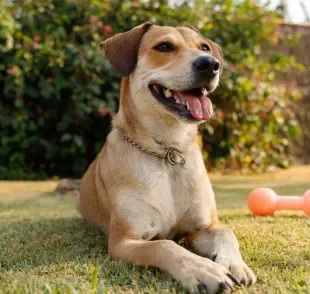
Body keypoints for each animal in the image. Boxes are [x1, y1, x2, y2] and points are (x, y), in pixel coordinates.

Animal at [77, 22, 256, 292]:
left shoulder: (201, 228)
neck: (168, 152)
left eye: (204, 47)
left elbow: (226, 232)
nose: (210, 64)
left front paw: (235, 264)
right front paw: (202, 270)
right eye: (163, 47)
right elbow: (164, 245)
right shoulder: (123, 242)